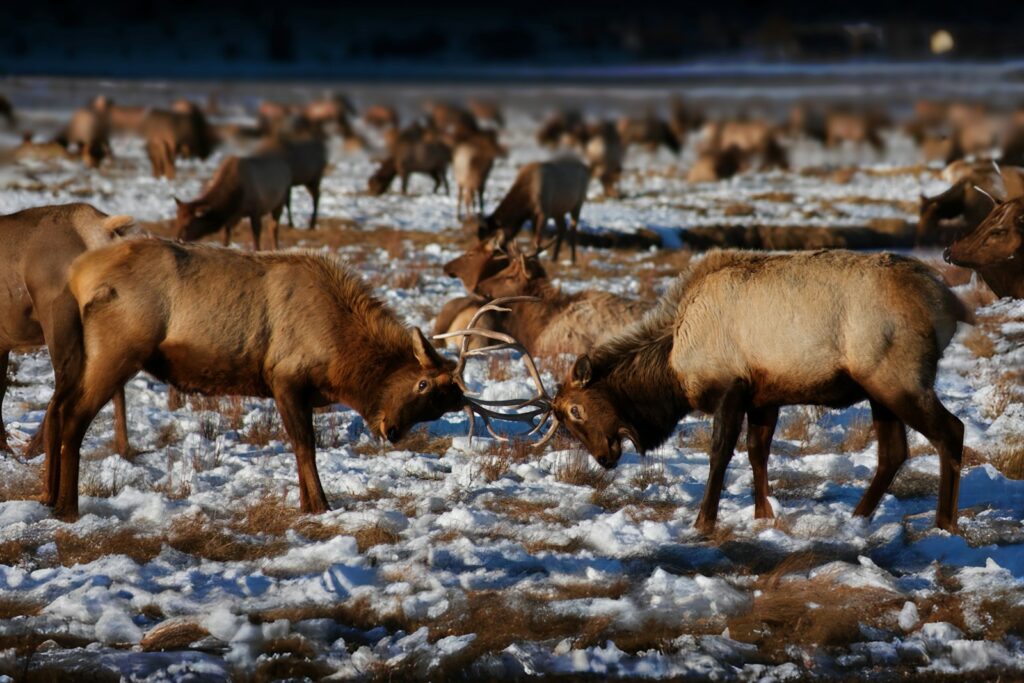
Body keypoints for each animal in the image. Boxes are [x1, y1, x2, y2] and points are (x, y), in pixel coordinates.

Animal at [44, 239, 544, 519]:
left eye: (441, 405)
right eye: (423, 385)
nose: (391, 429)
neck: (341, 359)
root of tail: (78, 275)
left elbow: (301, 447)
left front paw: (307, 504)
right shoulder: (284, 376)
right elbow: (305, 446)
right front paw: (320, 505)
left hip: (77, 355)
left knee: (53, 409)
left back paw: (48, 498)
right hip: (118, 350)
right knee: (74, 417)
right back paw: (68, 507)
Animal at [540, 250, 972, 534]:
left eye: (576, 410)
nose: (604, 457)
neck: (673, 368)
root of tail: (951, 305)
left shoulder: (731, 387)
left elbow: (721, 453)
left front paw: (703, 521)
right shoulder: (765, 397)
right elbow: (757, 453)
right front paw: (763, 516)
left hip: (897, 378)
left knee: (951, 431)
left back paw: (944, 524)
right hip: (879, 390)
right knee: (893, 452)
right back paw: (859, 517)